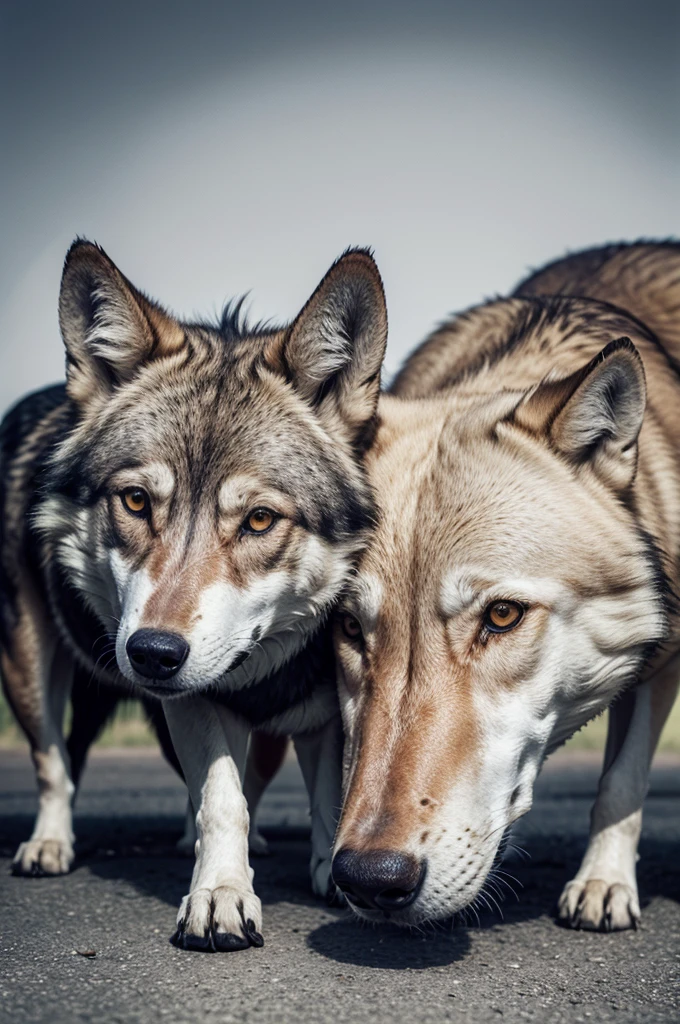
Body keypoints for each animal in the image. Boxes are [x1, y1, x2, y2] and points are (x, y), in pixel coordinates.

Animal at [329, 243, 680, 933]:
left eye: (502, 616)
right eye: (351, 628)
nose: (369, 880)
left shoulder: (662, 656)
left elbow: (621, 780)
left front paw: (602, 884)